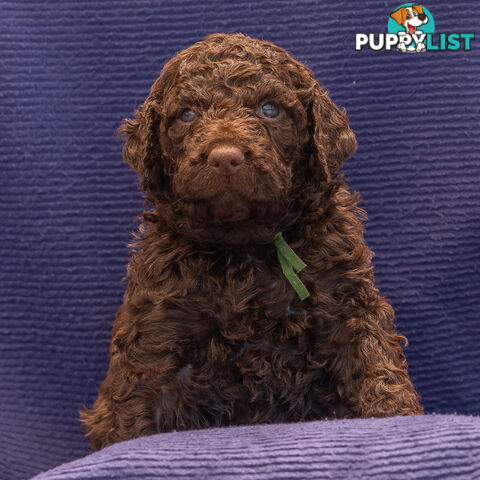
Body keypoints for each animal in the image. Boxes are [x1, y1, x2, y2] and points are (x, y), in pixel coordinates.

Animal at [80, 32, 422, 450]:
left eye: (269, 109)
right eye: (187, 115)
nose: (225, 157)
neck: (245, 250)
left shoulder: (347, 303)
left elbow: (376, 365)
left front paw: (397, 415)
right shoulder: (157, 328)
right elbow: (135, 405)